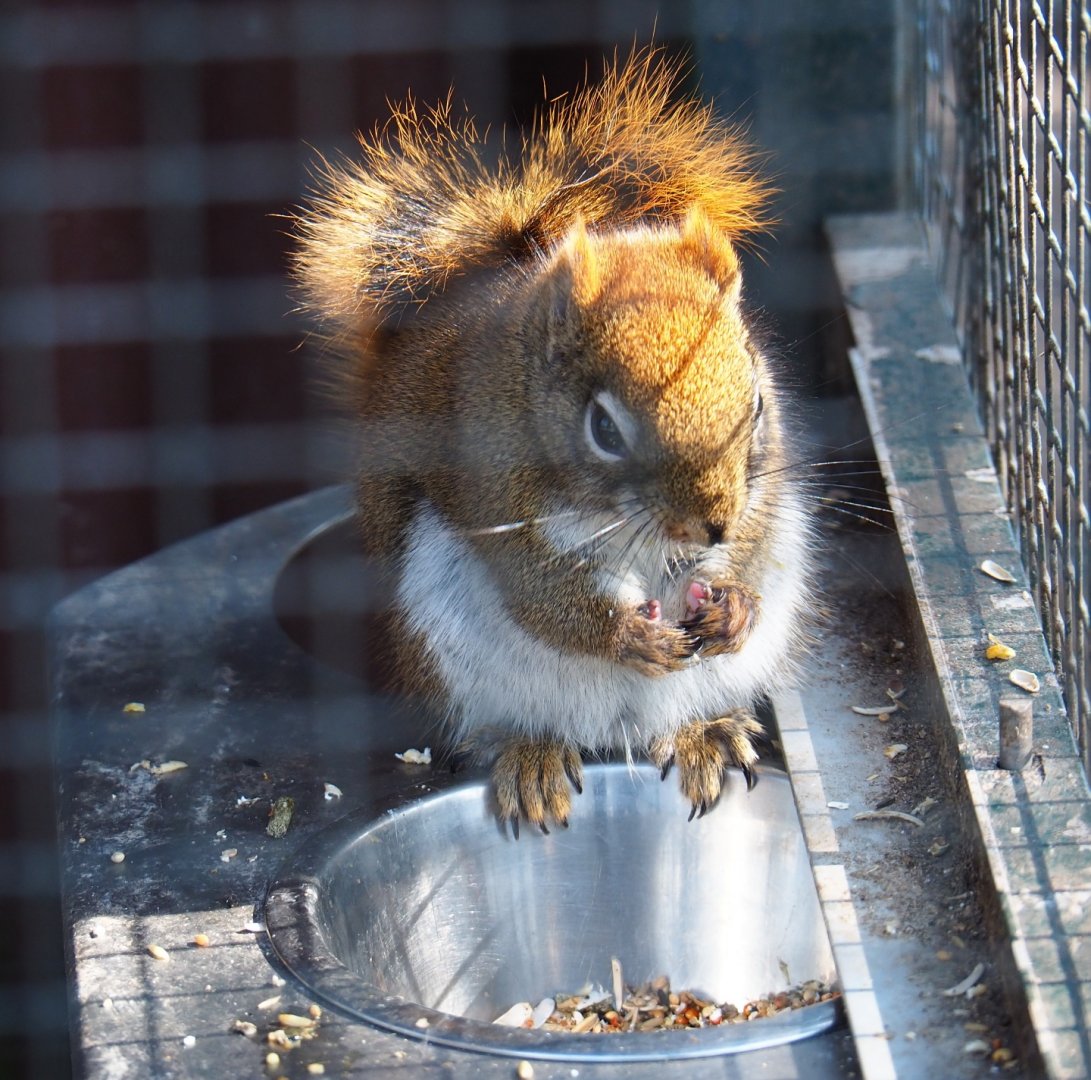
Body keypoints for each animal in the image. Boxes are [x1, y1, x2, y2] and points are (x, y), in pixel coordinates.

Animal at [292, 48, 816, 833]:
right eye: (603, 429)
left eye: (757, 402)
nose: (711, 526)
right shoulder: (487, 485)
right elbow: (537, 591)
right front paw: (624, 636)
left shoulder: (763, 488)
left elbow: (752, 539)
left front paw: (734, 605)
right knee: (510, 722)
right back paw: (531, 755)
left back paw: (703, 733)